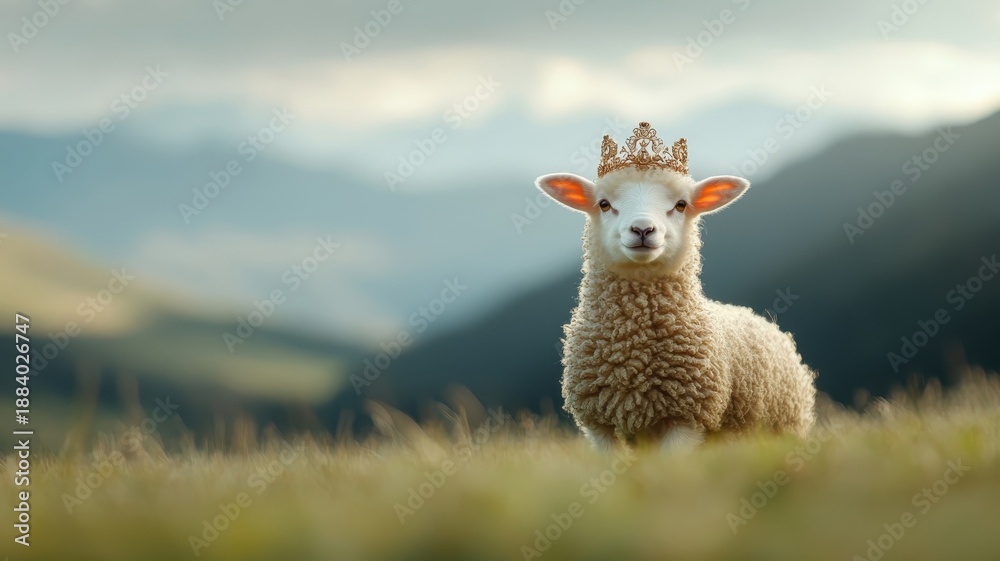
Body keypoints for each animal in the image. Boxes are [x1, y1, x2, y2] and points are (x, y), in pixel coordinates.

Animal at [535, 121, 816, 450]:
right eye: (604, 204)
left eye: (681, 205)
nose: (643, 229)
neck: (635, 344)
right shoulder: (599, 424)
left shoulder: (687, 417)